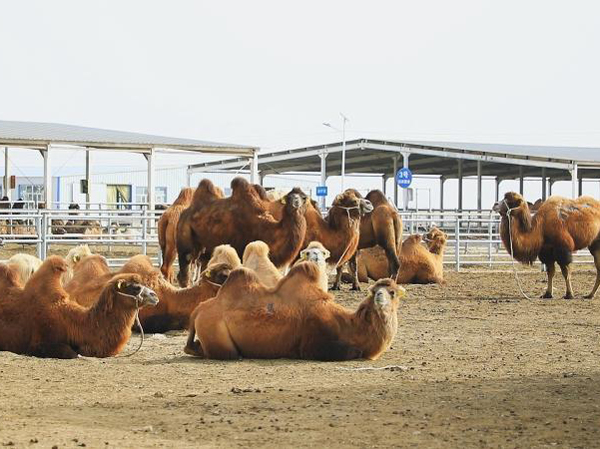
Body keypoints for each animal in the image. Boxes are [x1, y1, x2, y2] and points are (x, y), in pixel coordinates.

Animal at [175, 177, 308, 286]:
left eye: (304, 197)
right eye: (289, 197)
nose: (296, 202)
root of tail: (185, 213)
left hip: (205, 248)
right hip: (185, 236)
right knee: (186, 262)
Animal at [185, 262, 406, 360]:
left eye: (392, 292)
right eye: (374, 290)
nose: (379, 297)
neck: (349, 326)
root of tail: (198, 310)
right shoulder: (312, 343)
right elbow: (353, 351)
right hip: (214, 329)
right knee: (228, 353)